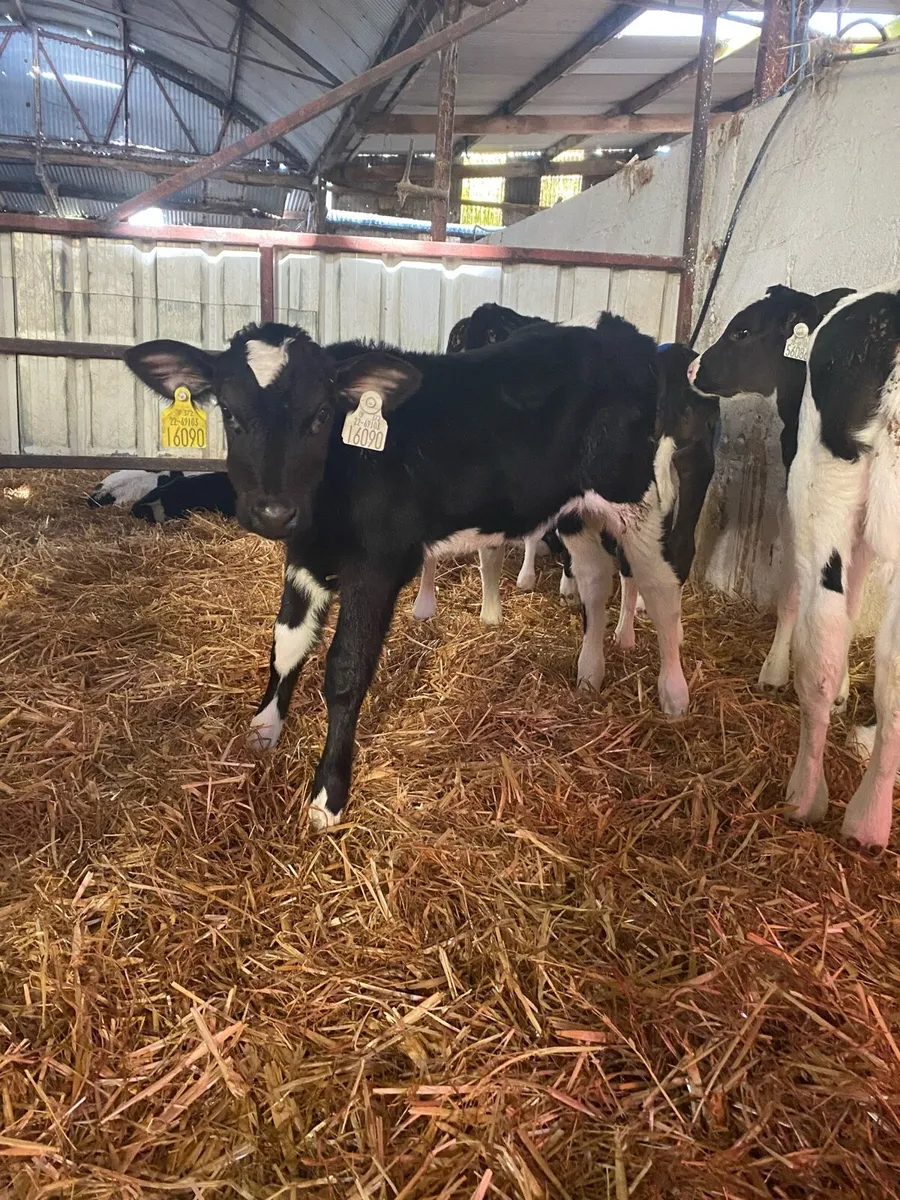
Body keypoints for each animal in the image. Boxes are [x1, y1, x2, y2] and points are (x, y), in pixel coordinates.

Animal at [126, 318, 700, 832]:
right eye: (229, 410)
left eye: (320, 414)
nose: (272, 511)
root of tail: (626, 339)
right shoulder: (305, 554)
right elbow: (286, 643)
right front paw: (266, 727)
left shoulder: (376, 566)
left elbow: (345, 671)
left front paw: (328, 795)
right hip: (576, 509)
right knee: (595, 578)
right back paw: (589, 672)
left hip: (634, 496)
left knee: (659, 587)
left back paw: (674, 694)